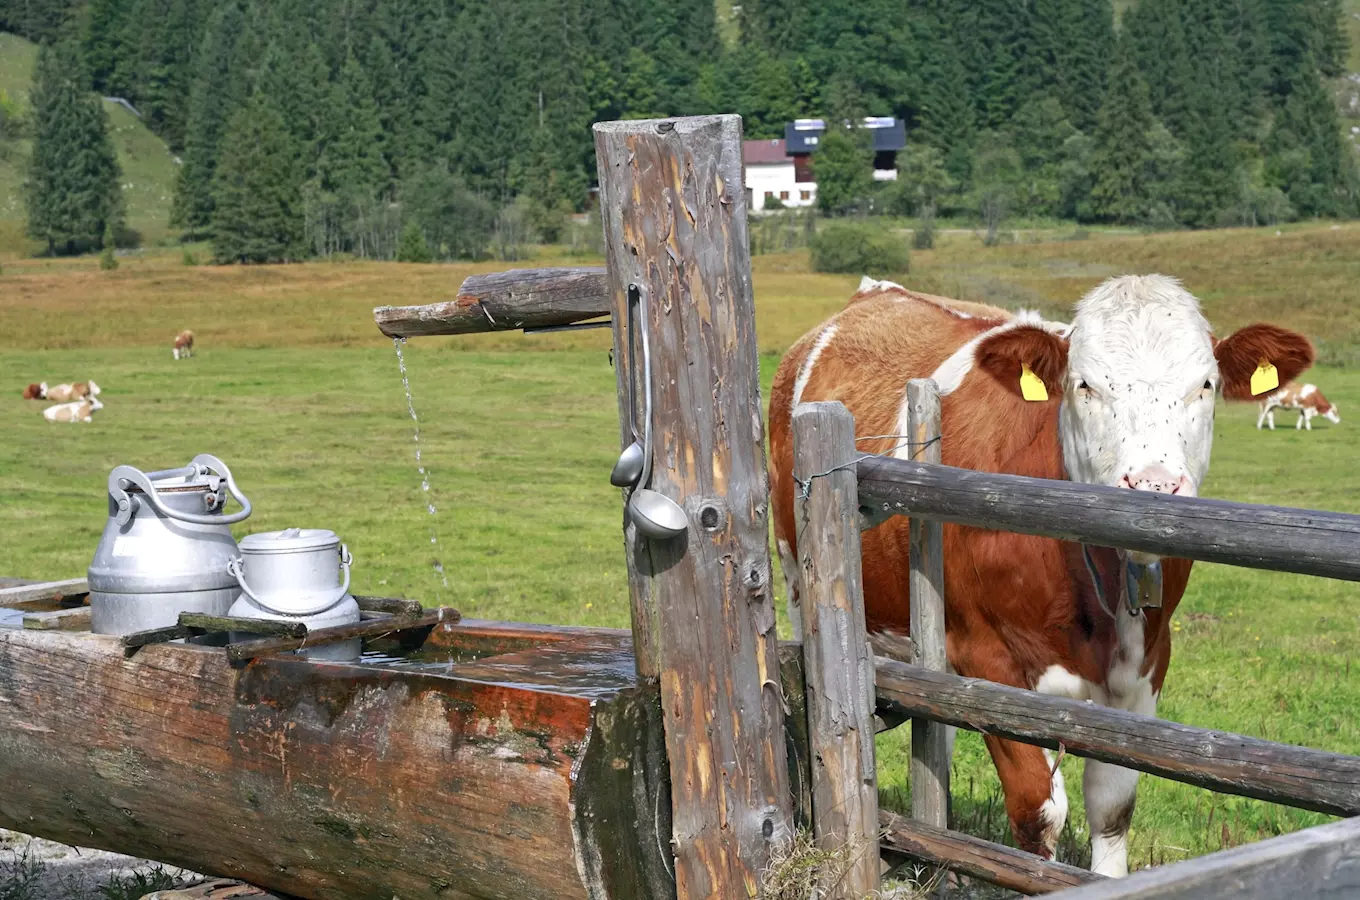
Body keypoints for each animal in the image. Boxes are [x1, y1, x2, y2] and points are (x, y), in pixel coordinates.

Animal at [772, 277, 1311, 880]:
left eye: (1206, 384)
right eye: (1084, 384)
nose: (1154, 485)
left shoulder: (1148, 664)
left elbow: (1112, 803)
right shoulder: (985, 657)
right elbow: (1037, 807)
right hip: (798, 576)